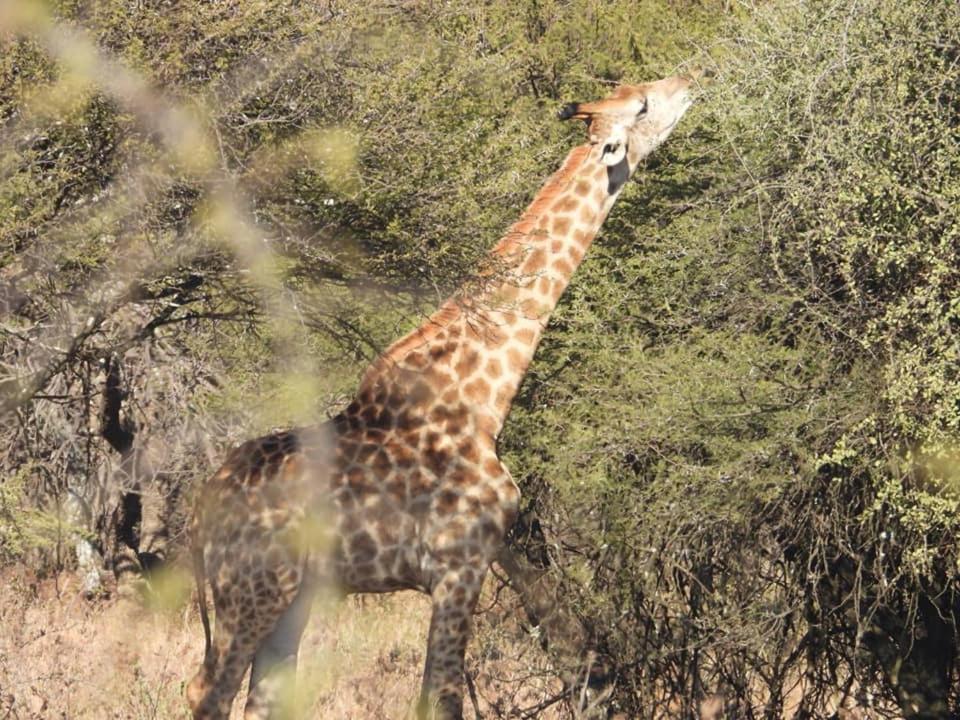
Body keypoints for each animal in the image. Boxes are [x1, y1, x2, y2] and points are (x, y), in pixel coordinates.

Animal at [187, 71, 699, 720]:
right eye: (643, 105)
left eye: (635, 89)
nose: (689, 79)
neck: (484, 398)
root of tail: (202, 505)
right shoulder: (461, 564)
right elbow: (445, 697)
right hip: (250, 588)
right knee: (208, 690)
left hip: (295, 593)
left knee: (265, 694)